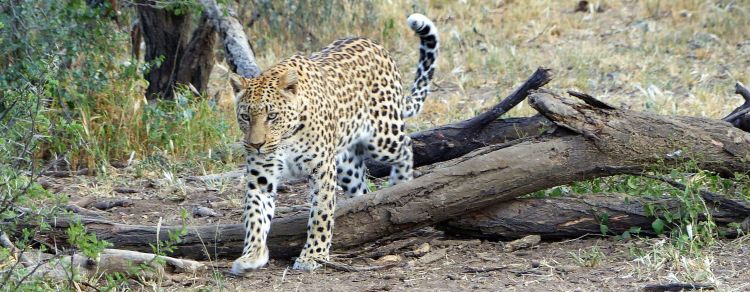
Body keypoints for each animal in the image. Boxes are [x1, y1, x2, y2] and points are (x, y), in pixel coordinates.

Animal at [232, 13, 438, 274]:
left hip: (383, 138)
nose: (256, 144)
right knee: (363, 189)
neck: (286, 139)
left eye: (272, 116)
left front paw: (313, 255)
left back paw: (400, 184)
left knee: (407, 145)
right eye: (245, 117)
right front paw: (252, 255)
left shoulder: (321, 169)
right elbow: (255, 216)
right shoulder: (261, 176)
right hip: (347, 165)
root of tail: (376, 44)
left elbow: (321, 213)